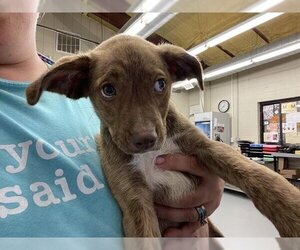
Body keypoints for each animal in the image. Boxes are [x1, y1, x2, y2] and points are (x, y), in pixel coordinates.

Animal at [26, 34, 300, 237]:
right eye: (108, 90)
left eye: (160, 84)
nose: (145, 139)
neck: (151, 154)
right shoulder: (134, 198)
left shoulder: (203, 145)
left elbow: (256, 173)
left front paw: (292, 212)